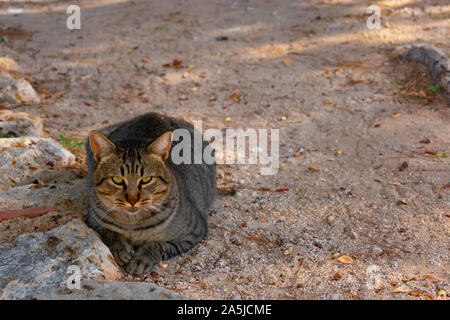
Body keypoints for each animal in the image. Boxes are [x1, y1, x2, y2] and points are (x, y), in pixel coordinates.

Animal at [87, 112, 217, 276]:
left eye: (146, 179)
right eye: (117, 180)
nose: (132, 200)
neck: (133, 226)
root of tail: (155, 114)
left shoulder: (194, 231)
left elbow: (158, 245)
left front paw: (142, 260)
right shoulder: (93, 218)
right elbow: (110, 232)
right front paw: (120, 248)